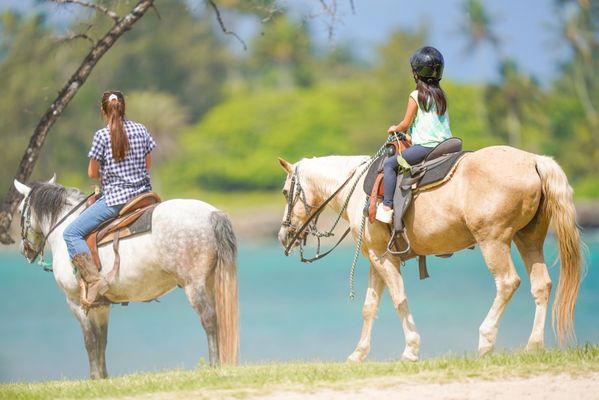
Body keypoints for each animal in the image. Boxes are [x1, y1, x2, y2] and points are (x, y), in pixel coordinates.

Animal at [11, 177, 237, 378]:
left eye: (20, 211)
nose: (24, 249)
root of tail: (211, 213)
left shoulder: (75, 301)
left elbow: (89, 340)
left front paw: (94, 377)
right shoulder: (101, 305)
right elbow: (102, 340)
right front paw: (103, 376)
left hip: (194, 285)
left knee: (208, 319)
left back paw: (214, 364)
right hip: (211, 282)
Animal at [278, 145, 584, 360]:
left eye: (284, 192)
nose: (282, 236)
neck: (356, 193)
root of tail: (534, 161)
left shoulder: (383, 258)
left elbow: (399, 300)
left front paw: (411, 350)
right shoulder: (376, 259)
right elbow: (369, 307)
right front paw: (358, 354)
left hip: (493, 240)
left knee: (508, 283)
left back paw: (486, 340)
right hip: (528, 239)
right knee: (541, 285)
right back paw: (533, 345)